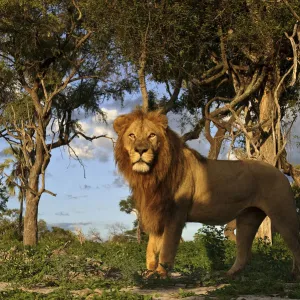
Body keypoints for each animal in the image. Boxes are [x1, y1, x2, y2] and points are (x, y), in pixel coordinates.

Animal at [113, 109, 300, 278]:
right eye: (131, 136)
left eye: (152, 135)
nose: (140, 150)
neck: (152, 174)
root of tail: (279, 172)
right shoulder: (158, 213)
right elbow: (151, 248)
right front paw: (149, 274)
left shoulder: (176, 215)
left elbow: (167, 248)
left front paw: (160, 275)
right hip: (248, 218)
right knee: (244, 254)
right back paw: (229, 275)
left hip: (282, 213)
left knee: (294, 242)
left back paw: (294, 275)